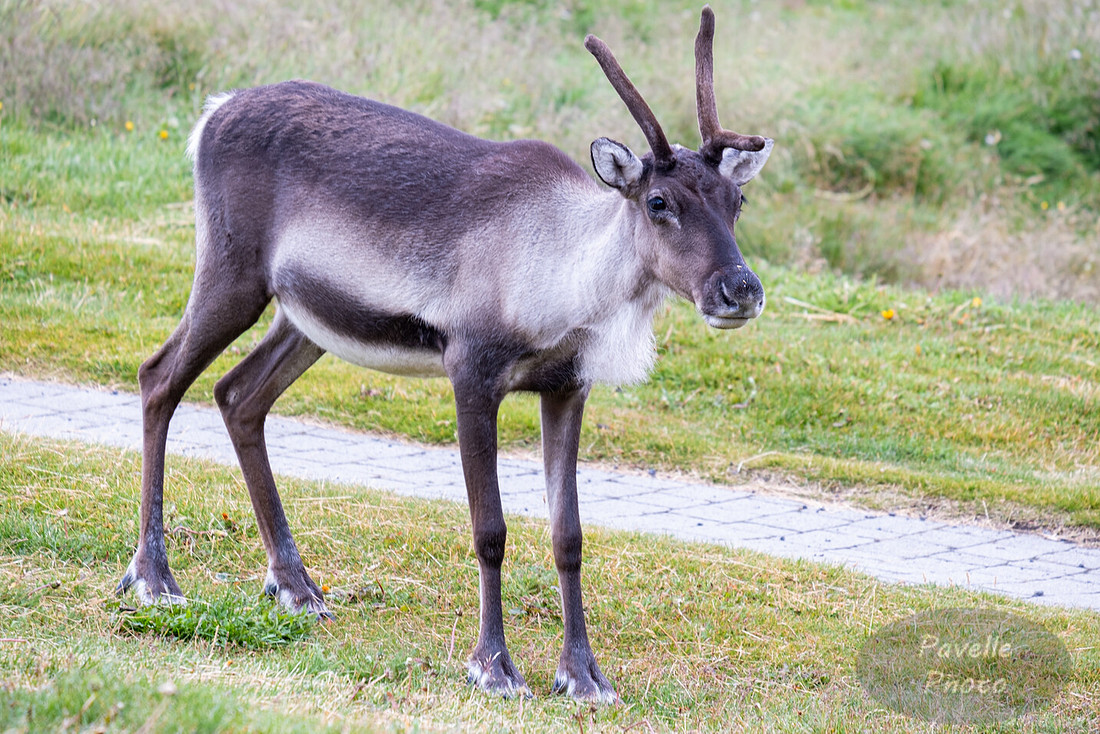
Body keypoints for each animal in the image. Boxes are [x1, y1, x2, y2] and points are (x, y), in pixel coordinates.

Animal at [117, 6, 772, 702]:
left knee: (238, 395)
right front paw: (494, 666)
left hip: (303, 320)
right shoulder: (472, 373)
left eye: (737, 202)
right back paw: (155, 577)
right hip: (233, 276)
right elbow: (491, 530)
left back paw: (295, 585)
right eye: (658, 202)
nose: (740, 290)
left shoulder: (567, 387)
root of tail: (213, 111)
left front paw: (583, 674)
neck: (566, 278)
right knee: (159, 378)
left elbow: (568, 534)